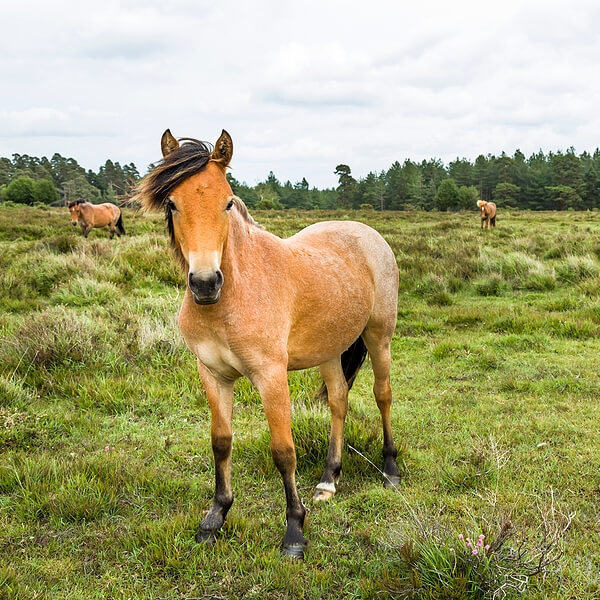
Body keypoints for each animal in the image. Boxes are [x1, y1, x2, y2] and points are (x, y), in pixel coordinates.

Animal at [134, 129, 400, 560]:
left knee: (383, 394)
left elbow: (283, 451)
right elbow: (221, 443)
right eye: (172, 203)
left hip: (380, 336)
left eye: (227, 202)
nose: (205, 283)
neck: (233, 296)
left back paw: (390, 470)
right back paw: (329, 479)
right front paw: (215, 518)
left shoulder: (271, 376)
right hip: (329, 350)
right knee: (339, 401)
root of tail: (367, 232)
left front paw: (294, 532)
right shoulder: (213, 375)